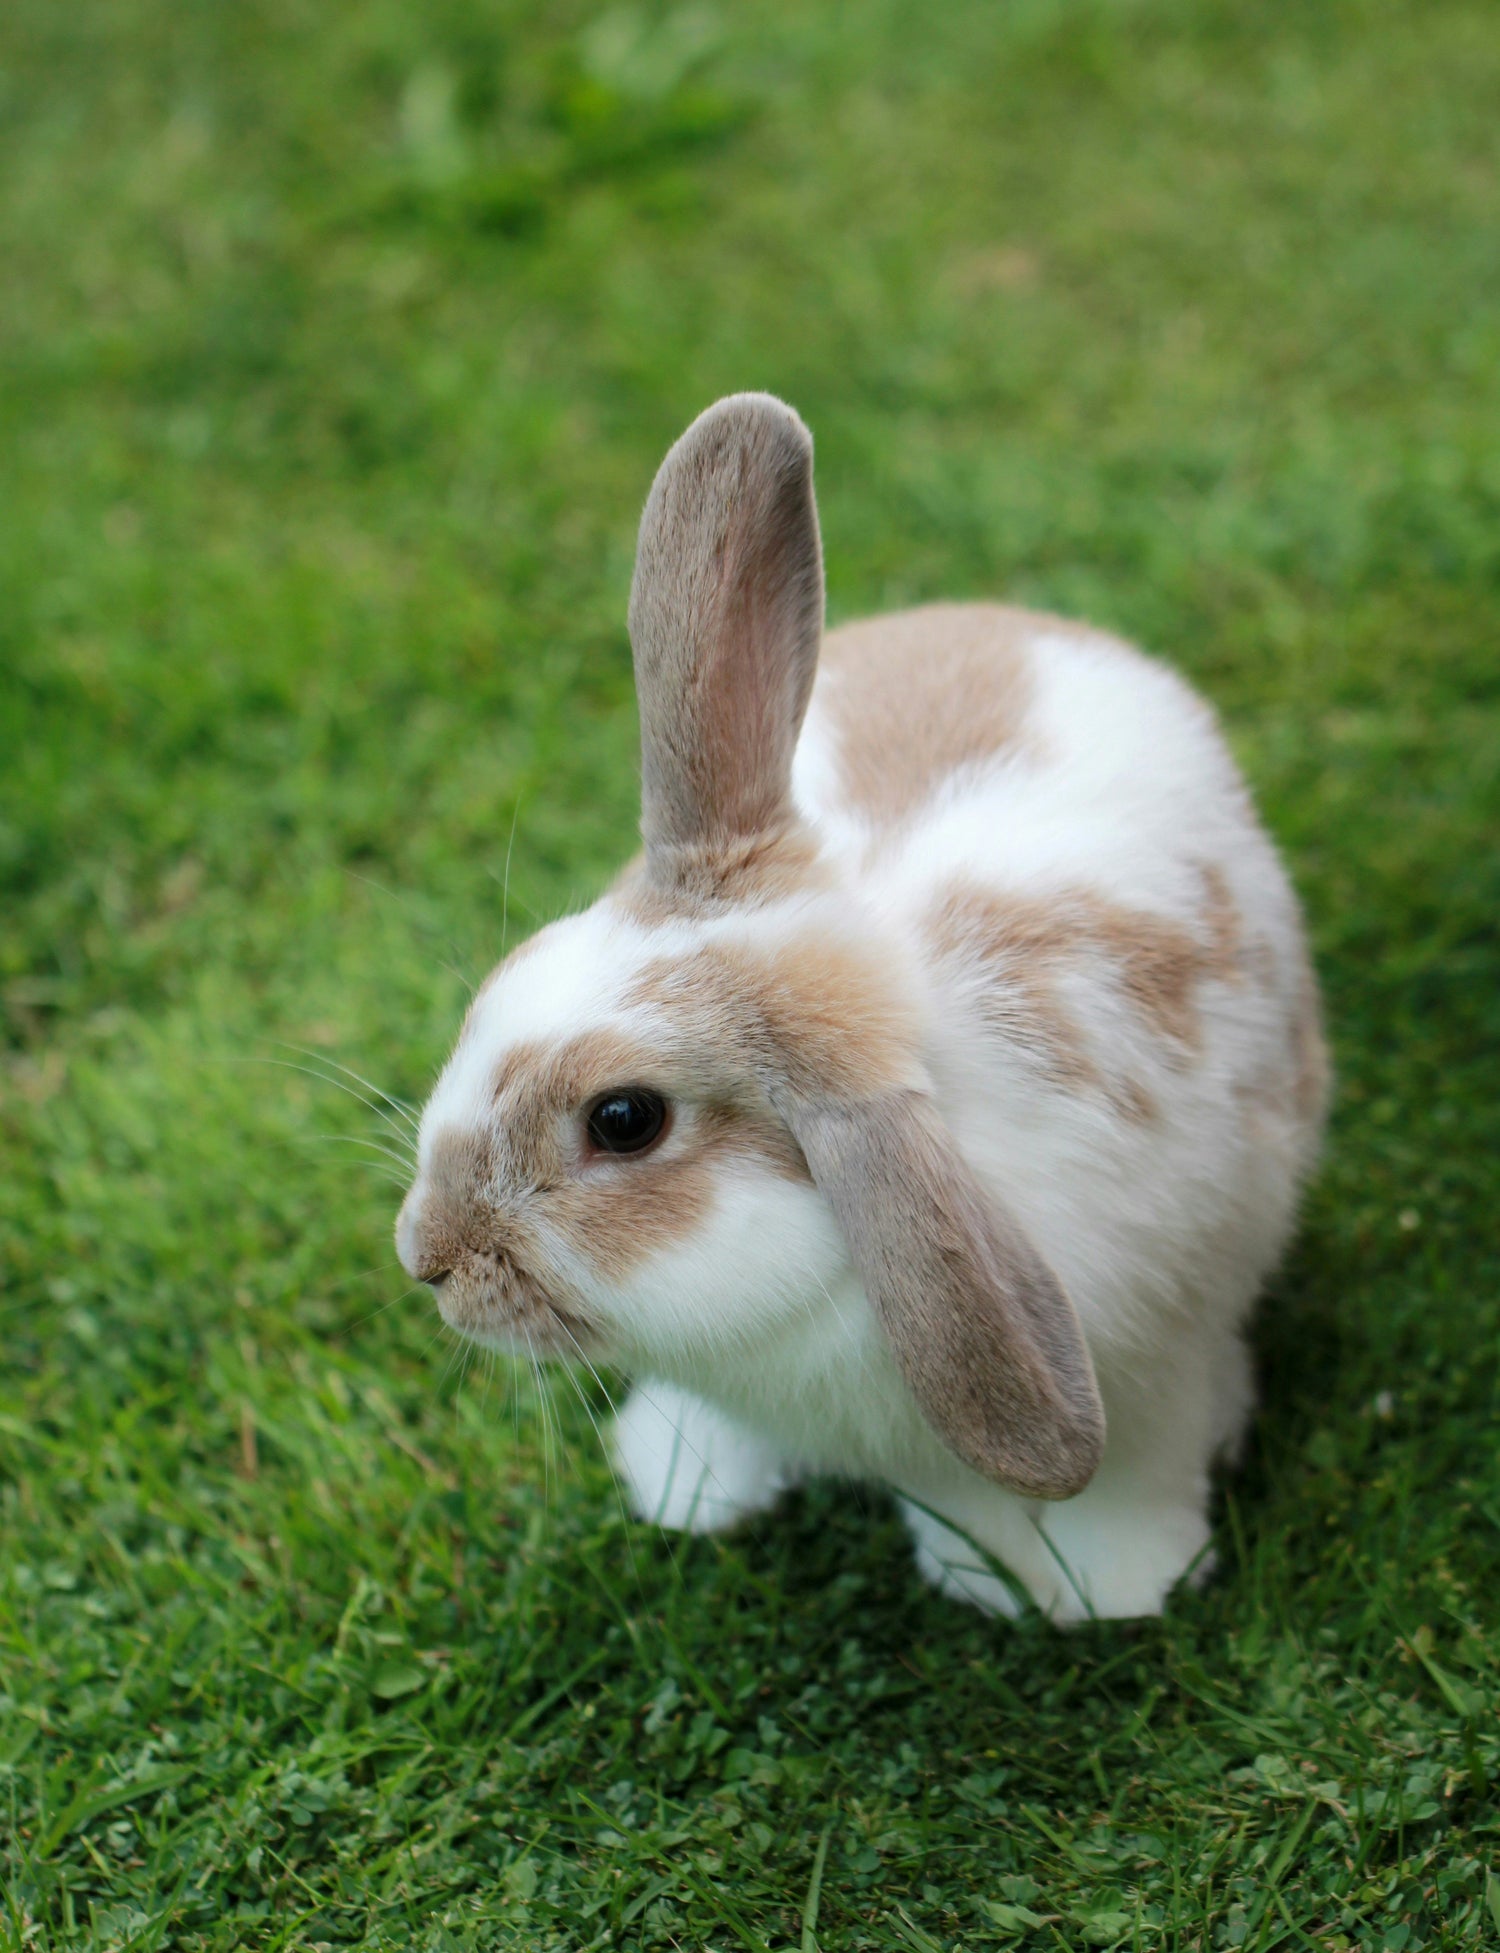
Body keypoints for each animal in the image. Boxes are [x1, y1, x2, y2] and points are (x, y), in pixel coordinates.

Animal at [395, 393, 1328, 1622]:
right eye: (509, 979)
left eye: (624, 1121)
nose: (425, 1256)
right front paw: (693, 1484)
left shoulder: (1151, 1363)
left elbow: (1130, 1474)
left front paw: (1115, 1586)